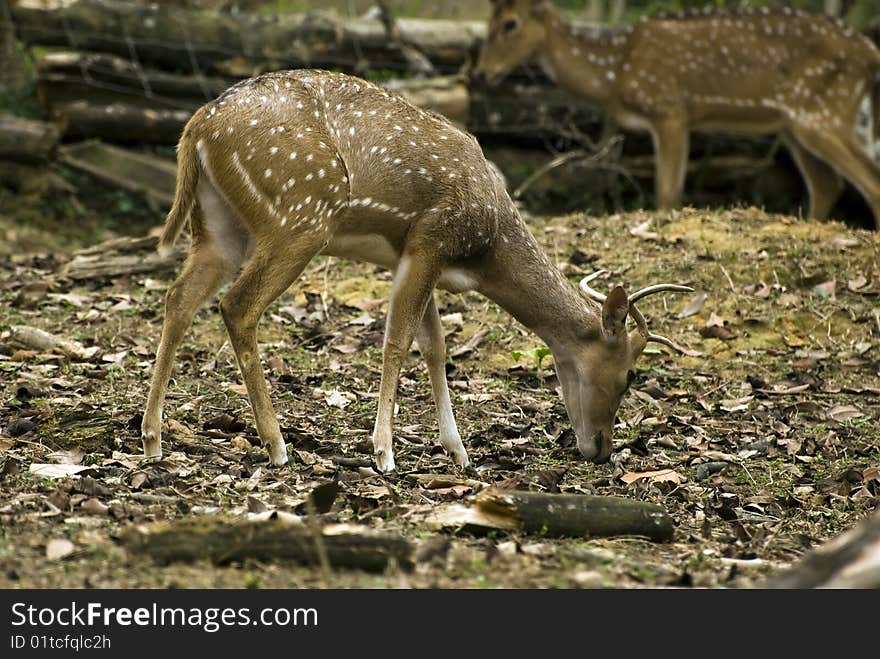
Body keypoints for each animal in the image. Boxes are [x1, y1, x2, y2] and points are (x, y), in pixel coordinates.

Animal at [144, 68, 692, 474]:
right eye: (630, 374)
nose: (600, 447)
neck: (485, 249)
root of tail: (196, 127)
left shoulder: (412, 255)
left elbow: (435, 346)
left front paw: (458, 450)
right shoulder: (432, 238)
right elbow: (398, 339)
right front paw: (384, 451)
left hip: (219, 226)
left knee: (178, 298)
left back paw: (152, 437)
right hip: (301, 214)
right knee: (237, 305)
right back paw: (277, 444)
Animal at [474, 0, 880, 229]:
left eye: (510, 24)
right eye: (487, 22)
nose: (480, 72)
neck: (614, 71)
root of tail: (870, 51)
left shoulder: (670, 109)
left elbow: (667, 193)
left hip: (822, 113)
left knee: (868, 180)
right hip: (795, 125)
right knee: (827, 184)